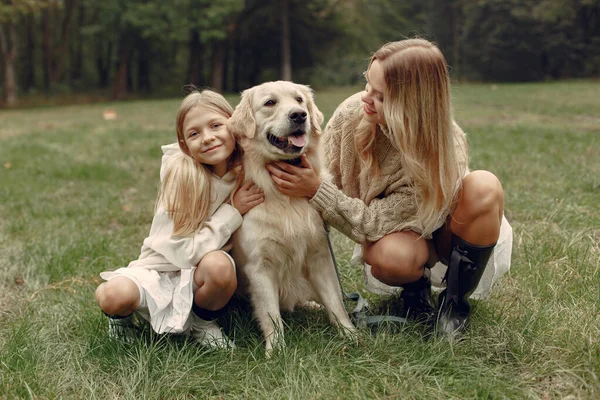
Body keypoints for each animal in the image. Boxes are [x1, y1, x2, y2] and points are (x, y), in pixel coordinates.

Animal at [227, 80, 354, 354]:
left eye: (299, 100)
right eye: (270, 103)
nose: (299, 115)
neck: (284, 198)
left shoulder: (319, 255)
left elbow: (336, 302)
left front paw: (351, 334)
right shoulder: (260, 266)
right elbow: (271, 314)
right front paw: (277, 351)